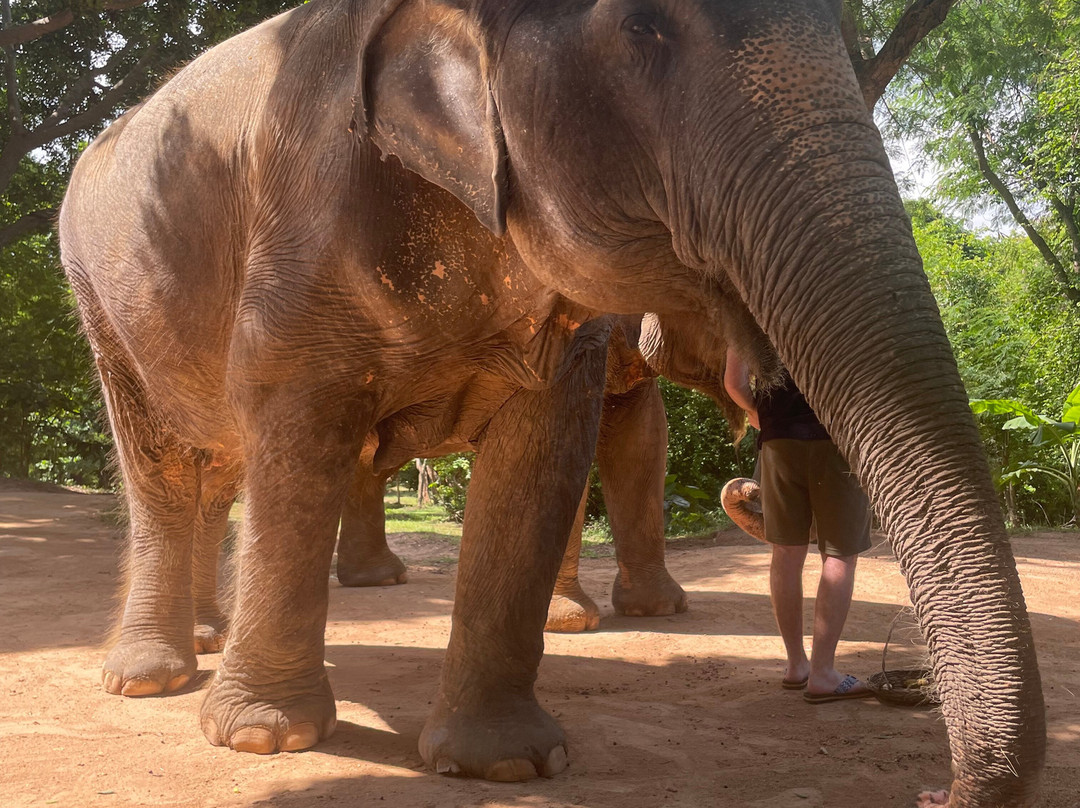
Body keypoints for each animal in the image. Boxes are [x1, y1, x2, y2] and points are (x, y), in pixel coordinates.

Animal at [58, 0, 1044, 803]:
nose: (943, 790)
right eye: (643, 27)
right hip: (98, 297)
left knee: (219, 463)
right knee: (165, 465)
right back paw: (153, 677)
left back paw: (213, 639)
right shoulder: (302, 217)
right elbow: (301, 432)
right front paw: (265, 741)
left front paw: (506, 762)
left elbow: (561, 452)